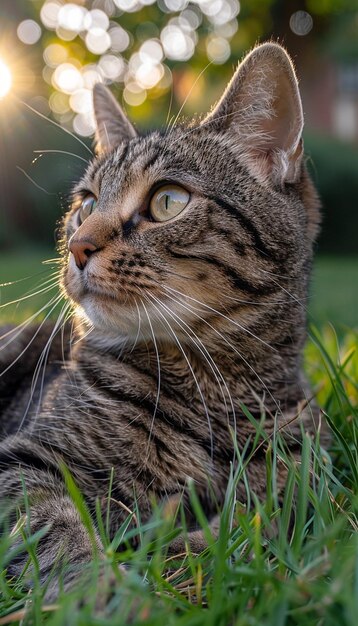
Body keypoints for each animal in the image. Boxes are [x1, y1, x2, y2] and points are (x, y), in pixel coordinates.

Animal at [0, 42, 324, 600]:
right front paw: (108, 591)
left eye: (167, 201)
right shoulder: (23, 460)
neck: (211, 393)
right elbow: (56, 532)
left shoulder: (308, 488)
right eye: (86, 205)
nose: (76, 246)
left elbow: (253, 528)